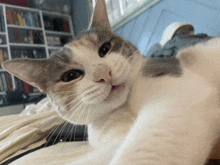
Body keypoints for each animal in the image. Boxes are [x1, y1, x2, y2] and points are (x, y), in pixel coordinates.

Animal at [3, 0, 220, 164]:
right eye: (71, 76)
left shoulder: (175, 93)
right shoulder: (108, 137)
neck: (123, 109)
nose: (103, 73)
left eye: (105, 49)